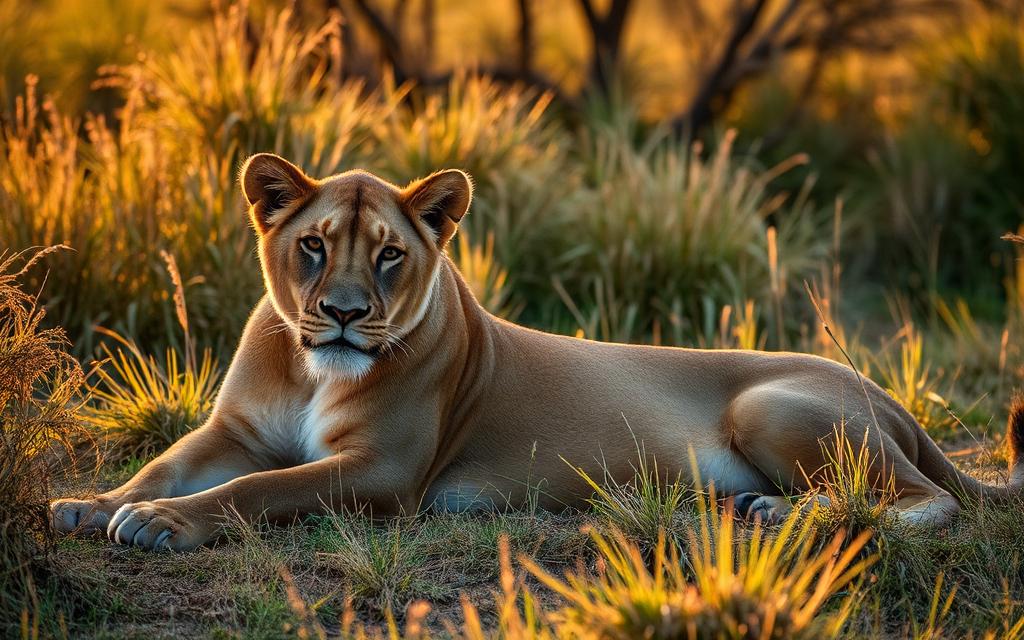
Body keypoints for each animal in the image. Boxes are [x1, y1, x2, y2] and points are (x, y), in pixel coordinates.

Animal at [51, 153, 1024, 551]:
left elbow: (257, 493)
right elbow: (164, 466)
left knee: (929, 498)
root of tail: (877, 385)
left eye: (391, 255)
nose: (344, 314)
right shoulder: (237, 431)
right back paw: (769, 511)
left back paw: (802, 519)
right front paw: (92, 505)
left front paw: (163, 525)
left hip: (772, 404)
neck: (310, 368)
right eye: (315, 245)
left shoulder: (382, 474)